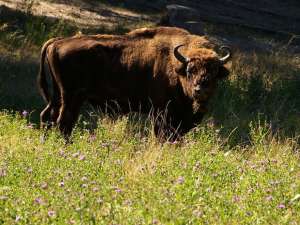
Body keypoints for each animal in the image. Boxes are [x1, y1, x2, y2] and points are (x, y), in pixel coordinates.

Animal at [38, 25, 232, 139]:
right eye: (190, 70)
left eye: (215, 72)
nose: (201, 90)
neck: (177, 66)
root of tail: (58, 41)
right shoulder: (161, 113)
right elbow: (161, 135)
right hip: (72, 97)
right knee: (64, 121)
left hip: (58, 95)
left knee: (48, 116)